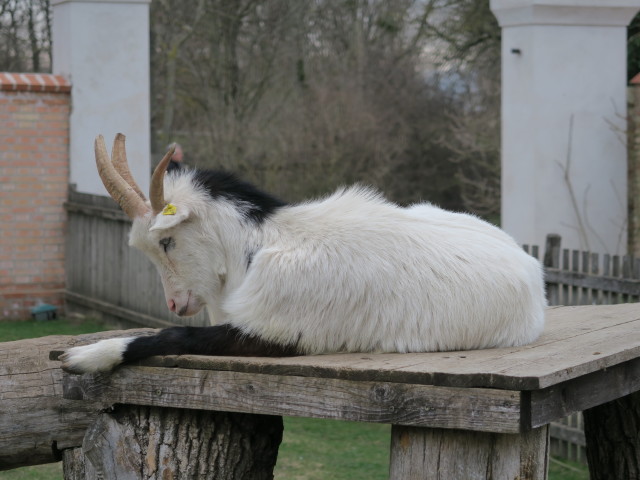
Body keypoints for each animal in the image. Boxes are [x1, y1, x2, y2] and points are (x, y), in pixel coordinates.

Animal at [60, 134, 546, 374]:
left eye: (166, 241)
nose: (176, 303)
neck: (260, 244)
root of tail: (531, 266)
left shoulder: (276, 330)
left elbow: (176, 337)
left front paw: (88, 356)